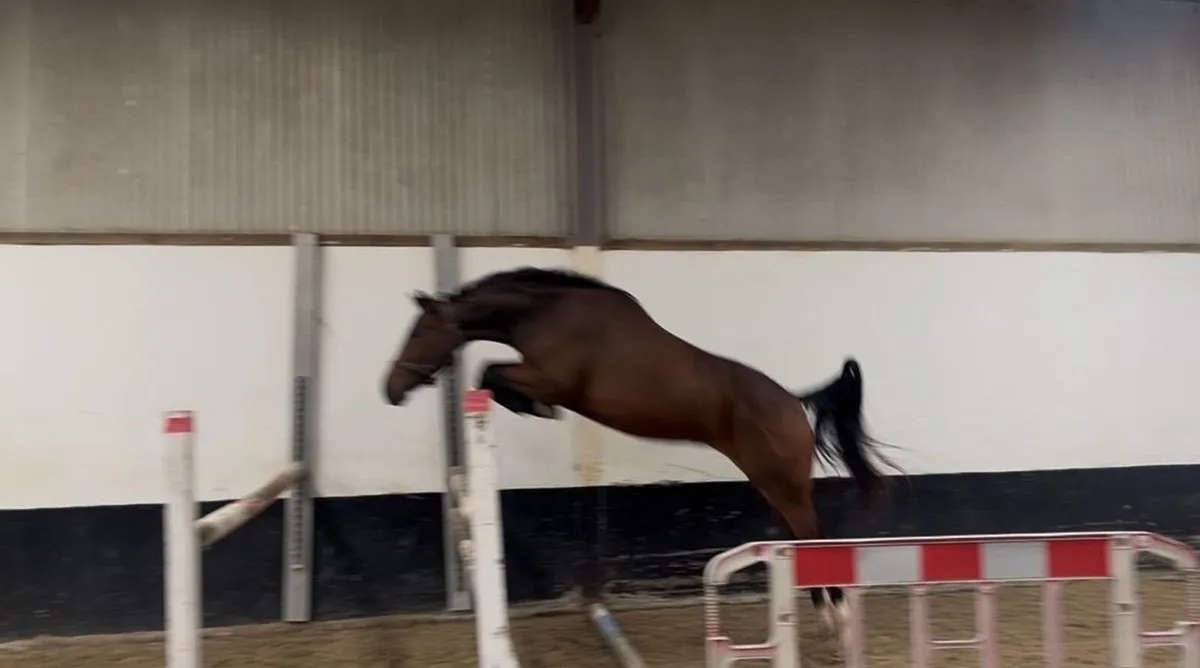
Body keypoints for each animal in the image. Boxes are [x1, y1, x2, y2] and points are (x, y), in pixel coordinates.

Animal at [382, 266, 899, 641]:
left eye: (419, 333)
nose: (391, 389)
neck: (548, 313)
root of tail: (794, 402)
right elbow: (492, 375)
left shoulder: (550, 378)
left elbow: (491, 372)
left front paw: (532, 407)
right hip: (772, 487)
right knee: (797, 540)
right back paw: (823, 617)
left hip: (785, 486)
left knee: (814, 537)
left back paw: (837, 620)